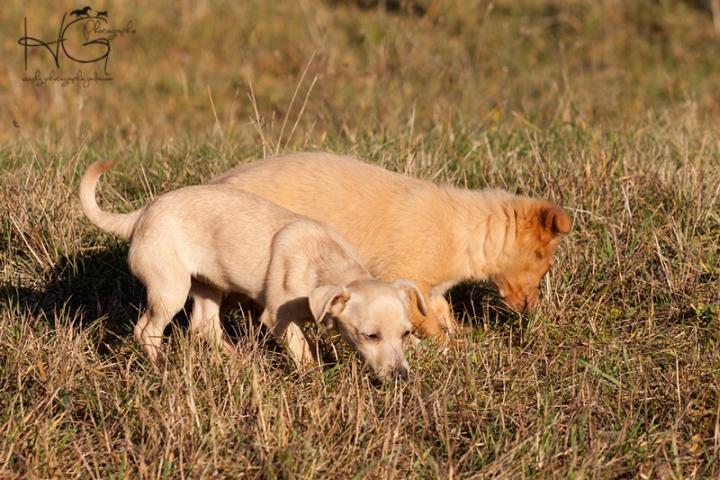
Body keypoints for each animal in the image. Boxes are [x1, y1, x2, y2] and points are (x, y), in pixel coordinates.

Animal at [79, 160, 427, 381]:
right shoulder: (277, 318)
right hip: (170, 289)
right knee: (147, 331)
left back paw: (242, 363)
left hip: (209, 287)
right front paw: (316, 379)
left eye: (406, 333)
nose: (402, 377)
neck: (323, 263)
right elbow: (303, 352)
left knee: (204, 326)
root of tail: (140, 215)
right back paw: (164, 369)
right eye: (370, 336)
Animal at [211, 152, 572, 339]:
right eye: (544, 261)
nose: (529, 310)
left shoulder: (432, 287)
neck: (467, 233)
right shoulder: (405, 272)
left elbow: (441, 312)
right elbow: (426, 323)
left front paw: (464, 340)